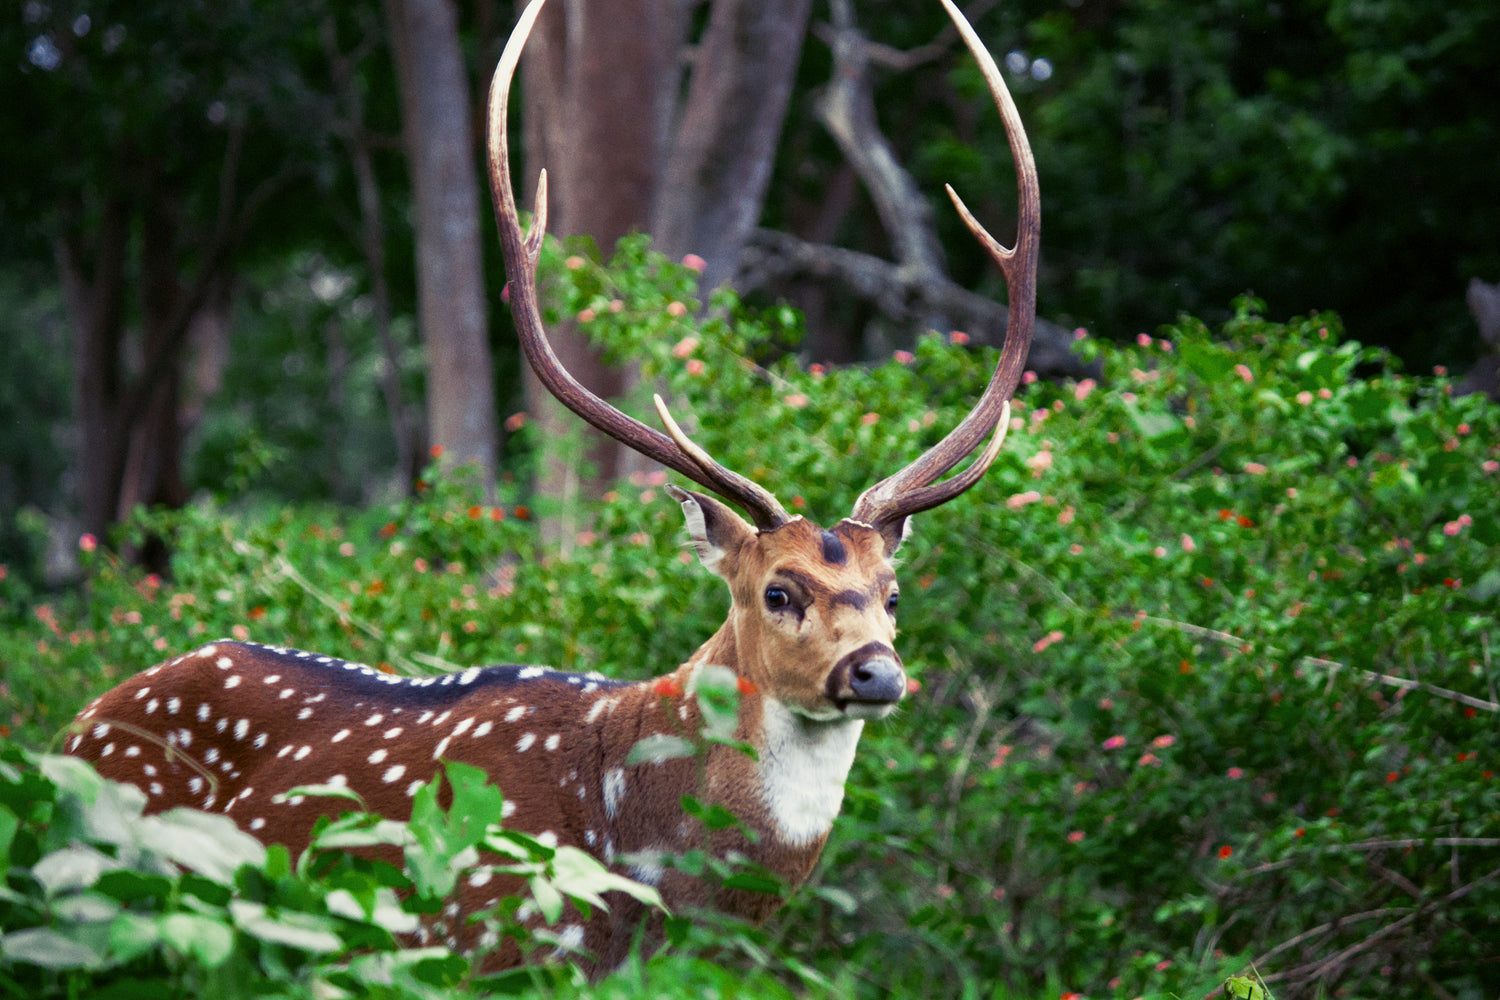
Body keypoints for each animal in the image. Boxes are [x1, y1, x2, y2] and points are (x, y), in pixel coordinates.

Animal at [65, 0, 1038, 976]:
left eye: (893, 592)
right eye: (778, 589)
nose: (877, 671)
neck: (641, 872)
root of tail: (76, 722)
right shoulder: (480, 943)